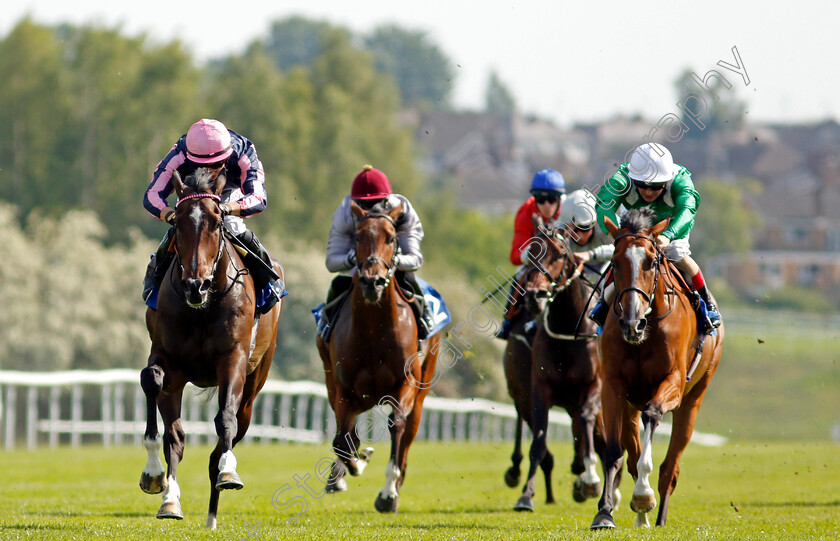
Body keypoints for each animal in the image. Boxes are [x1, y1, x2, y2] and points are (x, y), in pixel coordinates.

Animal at [138, 168, 282, 528]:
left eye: (217, 222)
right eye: (177, 224)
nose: (195, 285)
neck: (201, 307)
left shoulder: (233, 358)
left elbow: (225, 420)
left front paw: (228, 473)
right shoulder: (169, 360)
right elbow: (152, 382)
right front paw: (154, 477)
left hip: (255, 382)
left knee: (229, 432)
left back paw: (213, 512)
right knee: (176, 437)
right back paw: (172, 501)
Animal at [316, 200, 440, 512]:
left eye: (392, 238)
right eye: (358, 237)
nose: (372, 282)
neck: (373, 332)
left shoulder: (405, 384)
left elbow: (396, 425)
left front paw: (388, 493)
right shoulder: (345, 390)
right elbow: (342, 439)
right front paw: (350, 467)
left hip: (420, 395)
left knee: (406, 437)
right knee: (346, 434)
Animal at [508, 227, 612, 510]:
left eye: (560, 254)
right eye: (531, 251)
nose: (535, 295)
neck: (568, 330)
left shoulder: (594, 386)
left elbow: (587, 423)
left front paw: (590, 479)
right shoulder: (539, 389)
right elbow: (539, 440)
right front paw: (526, 494)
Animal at [592, 208, 720, 528]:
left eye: (651, 261)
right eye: (614, 262)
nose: (631, 323)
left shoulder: (672, 381)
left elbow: (653, 415)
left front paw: (642, 496)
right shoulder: (612, 385)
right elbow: (613, 452)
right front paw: (604, 512)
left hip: (693, 399)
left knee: (670, 468)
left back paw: (657, 515)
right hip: (629, 406)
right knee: (631, 453)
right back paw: (641, 518)